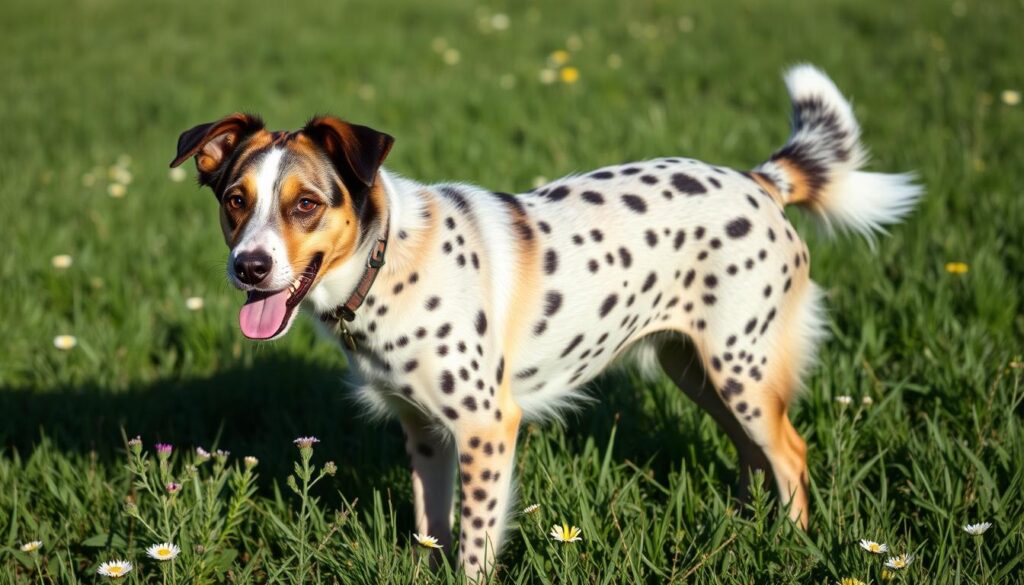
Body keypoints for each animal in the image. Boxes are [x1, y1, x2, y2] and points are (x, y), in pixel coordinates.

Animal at [167, 65, 921, 577]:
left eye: (306, 204)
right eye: (235, 200)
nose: (250, 267)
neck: (389, 260)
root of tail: (761, 180)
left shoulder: (486, 426)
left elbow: (474, 542)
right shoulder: (427, 434)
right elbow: (432, 526)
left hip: (743, 368)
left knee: (789, 453)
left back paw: (790, 542)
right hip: (695, 368)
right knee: (749, 451)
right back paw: (744, 528)